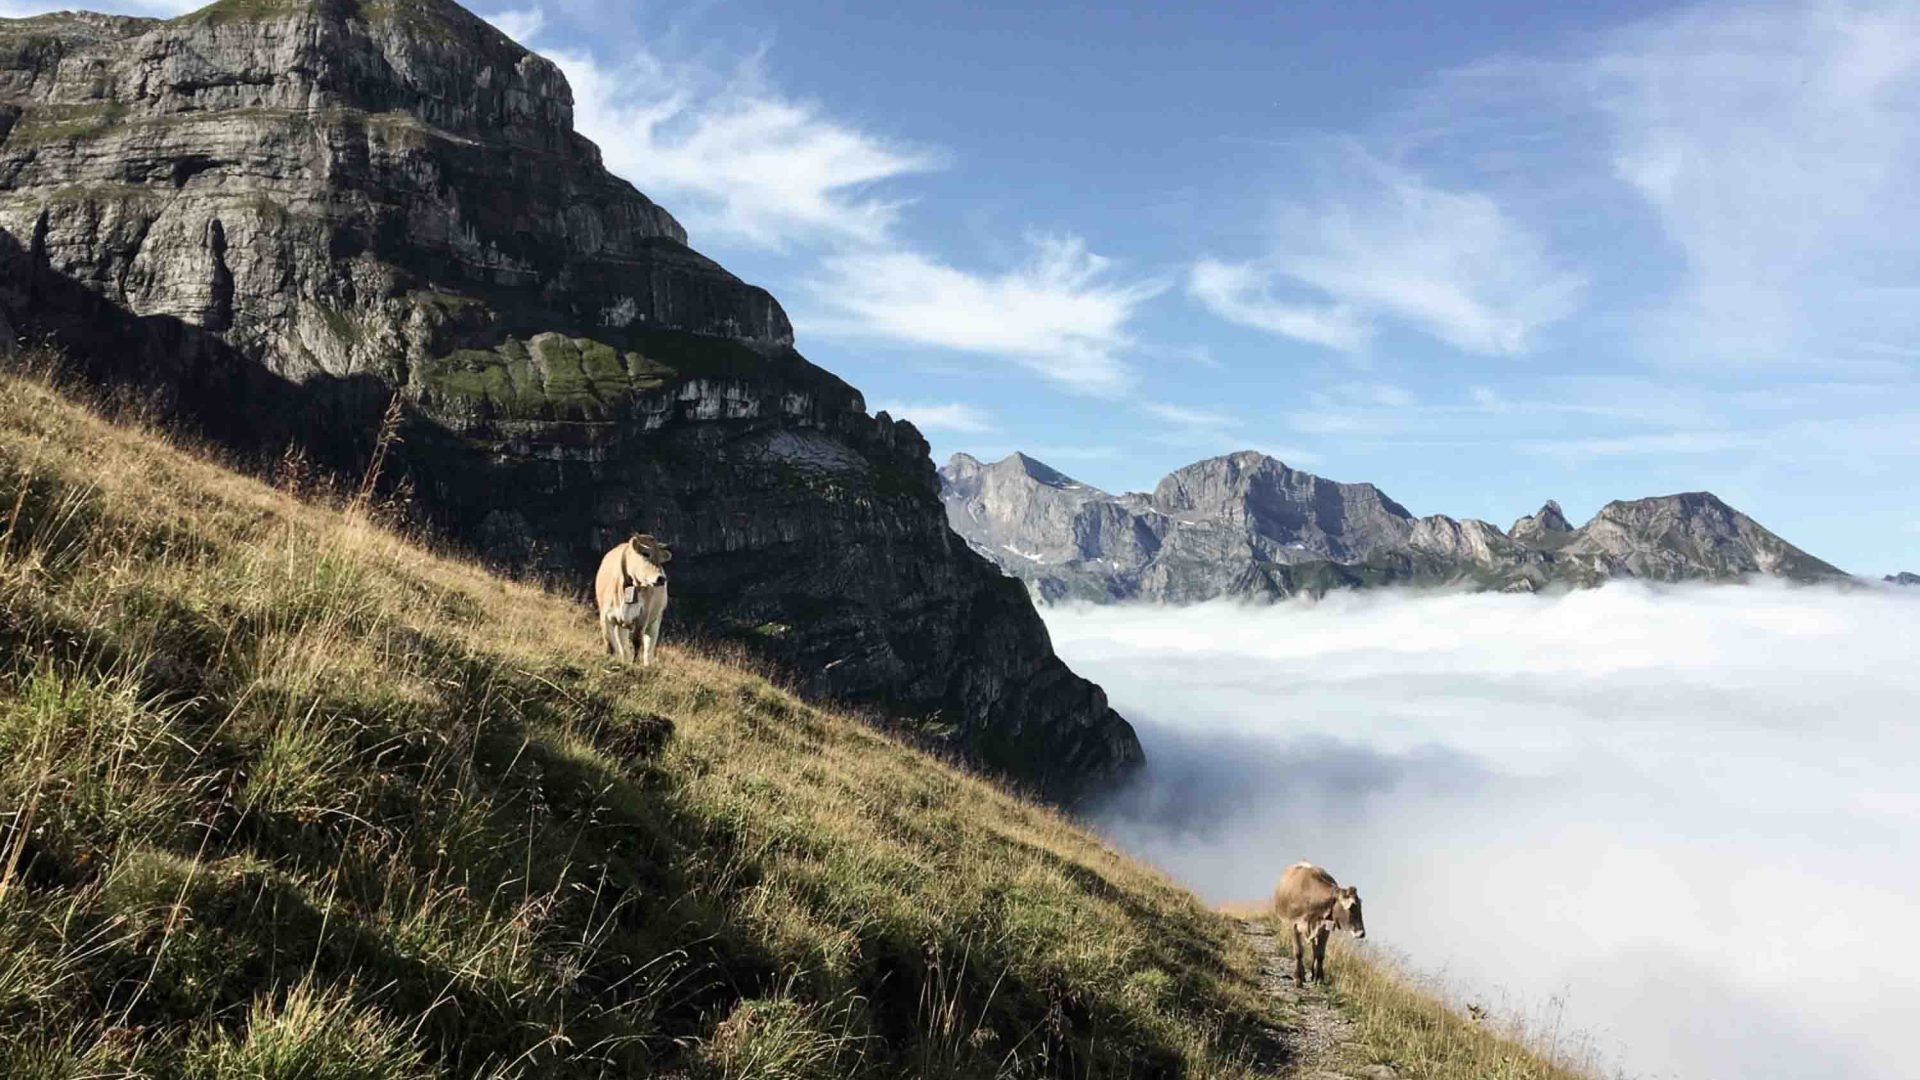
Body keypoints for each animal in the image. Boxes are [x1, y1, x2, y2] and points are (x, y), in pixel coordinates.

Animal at [595, 533, 672, 666]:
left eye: (660, 560)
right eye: (646, 553)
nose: (661, 578)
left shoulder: (643, 615)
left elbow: (637, 641)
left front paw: (635, 663)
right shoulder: (606, 615)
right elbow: (610, 644)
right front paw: (609, 658)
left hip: (655, 621)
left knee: (648, 649)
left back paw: (647, 665)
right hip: (621, 625)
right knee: (623, 646)